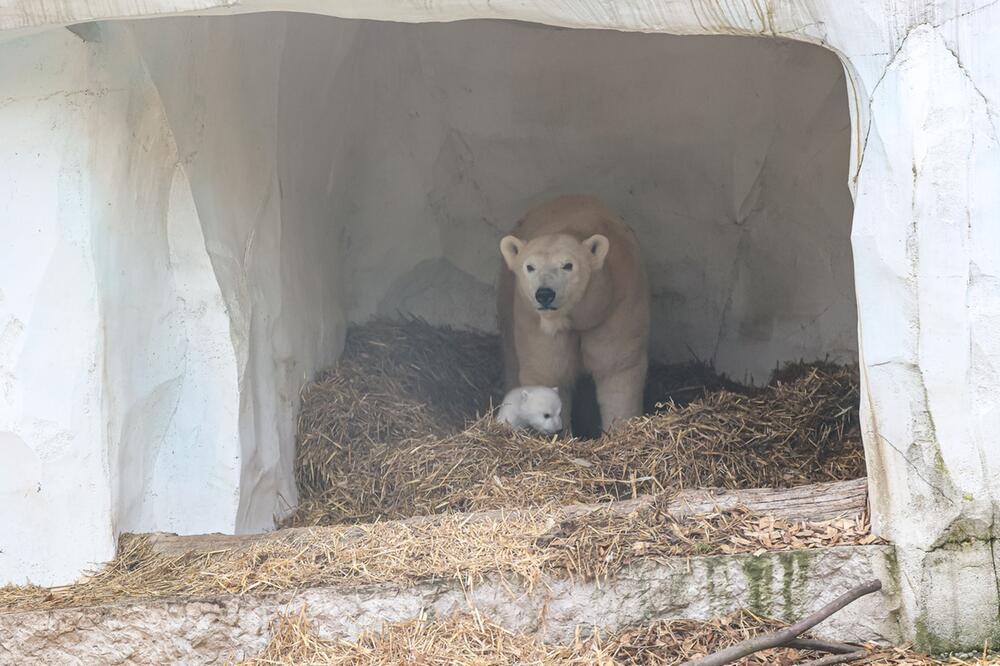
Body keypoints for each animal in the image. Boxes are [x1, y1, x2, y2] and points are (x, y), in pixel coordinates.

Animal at [498, 195, 652, 434]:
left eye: (568, 265)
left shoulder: (616, 305)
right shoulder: (534, 321)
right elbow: (547, 369)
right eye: (530, 266)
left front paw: (620, 429)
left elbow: (616, 366)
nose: (544, 294)